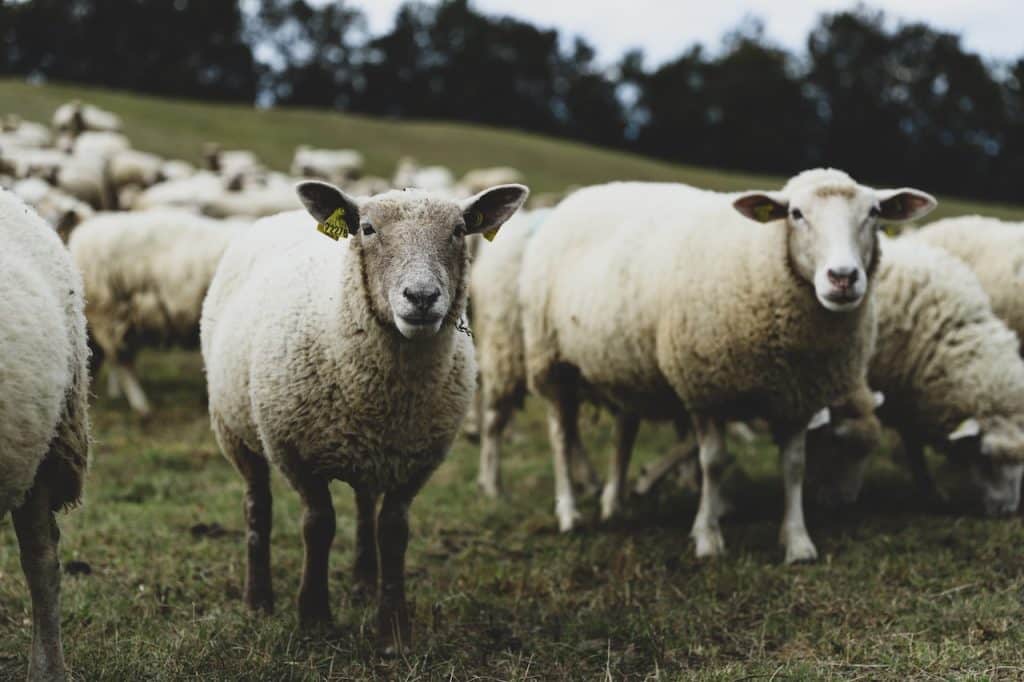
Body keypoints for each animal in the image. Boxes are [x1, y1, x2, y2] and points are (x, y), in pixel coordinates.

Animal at [201, 181, 528, 652]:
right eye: (368, 229)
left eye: (459, 229)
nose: (422, 298)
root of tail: (278, 214)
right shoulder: (295, 452)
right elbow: (318, 525)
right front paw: (314, 616)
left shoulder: (417, 460)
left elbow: (392, 532)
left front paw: (392, 628)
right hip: (235, 428)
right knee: (257, 504)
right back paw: (258, 599)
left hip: (369, 453)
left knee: (363, 501)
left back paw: (364, 581)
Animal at [520, 169, 936, 562]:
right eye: (796, 214)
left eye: (875, 212)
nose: (843, 277)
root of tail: (584, 194)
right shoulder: (704, 389)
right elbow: (714, 462)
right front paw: (707, 537)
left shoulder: (797, 397)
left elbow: (794, 466)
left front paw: (797, 541)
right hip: (551, 361)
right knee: (560, 435)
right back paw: (569, 513)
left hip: (624, 367)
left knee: (624, 433)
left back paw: (615, 504)